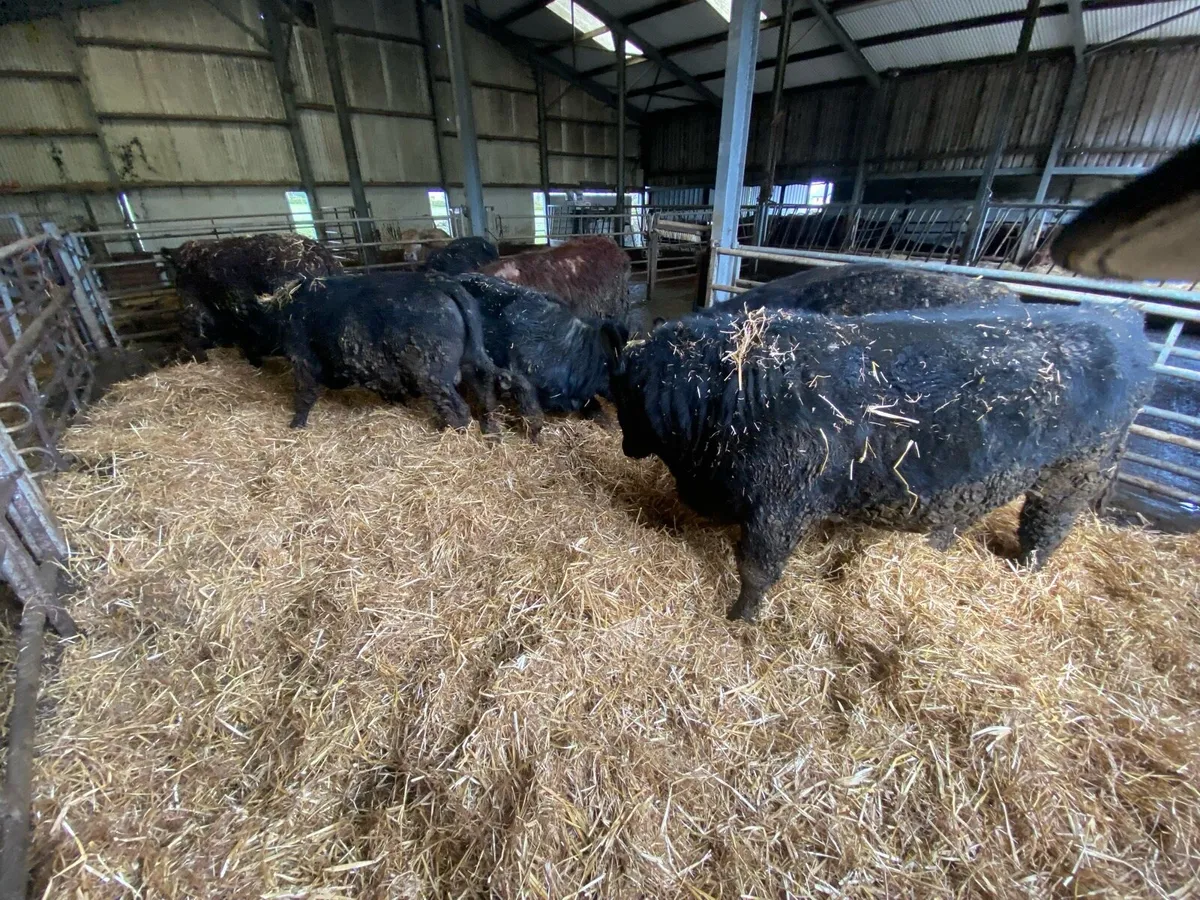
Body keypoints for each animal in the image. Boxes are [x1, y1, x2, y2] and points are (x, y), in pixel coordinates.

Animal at [278, 271, 506, 433]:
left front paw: (295, 425)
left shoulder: (303, 357)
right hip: (472, 359)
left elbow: (305, 393)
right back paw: (490, 431)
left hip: (433, 375)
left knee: (458, 409)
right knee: (485, 391)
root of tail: (443, 285)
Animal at [611, 302, 1153, 622]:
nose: (625, 447)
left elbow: (756, 570)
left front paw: (740, 618)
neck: (732, 393)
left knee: (1045, 527)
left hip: (1074, 474)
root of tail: (1119, 316)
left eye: (625, 398)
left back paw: (1024, 570)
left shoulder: (780, 508)